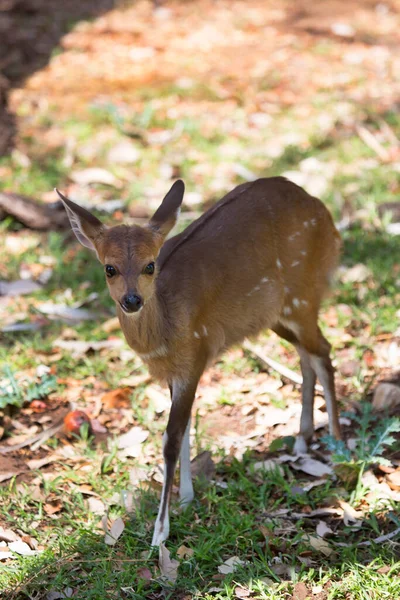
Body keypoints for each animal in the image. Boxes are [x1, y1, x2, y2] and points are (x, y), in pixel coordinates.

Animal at [56, 176, 342, 548]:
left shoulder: (195, 356)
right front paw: (187, 499)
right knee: (307, 356)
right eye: (110, 268)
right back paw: (302, 439)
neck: (162, 336)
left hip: (303, 295)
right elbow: (186, 428)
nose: (132, 300)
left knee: (323, 351)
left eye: (150, 265)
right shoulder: (174, 373)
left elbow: (171, 437)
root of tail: (327, 218)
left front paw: (160, 533)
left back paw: (339, 447)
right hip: (277, 315)